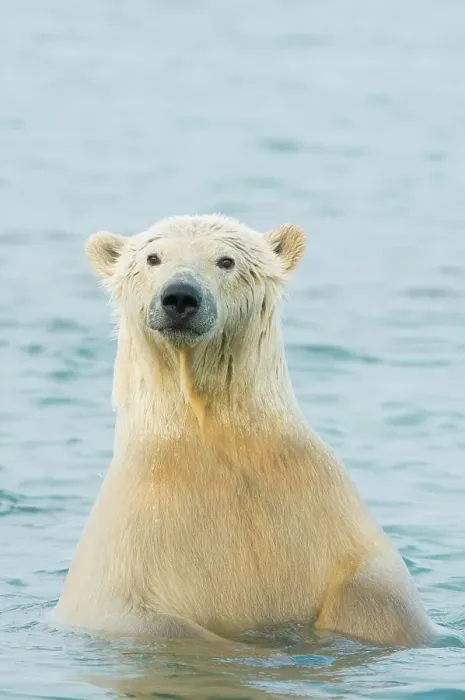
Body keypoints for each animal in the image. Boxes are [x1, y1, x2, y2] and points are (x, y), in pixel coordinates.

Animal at [56, 214, 434, 646]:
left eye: (226, 260)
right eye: (153, 258)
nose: (180, 297)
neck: (211, 437)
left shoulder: (323, 510)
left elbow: (380, 594)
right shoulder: (125, 557)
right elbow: (149, 620)